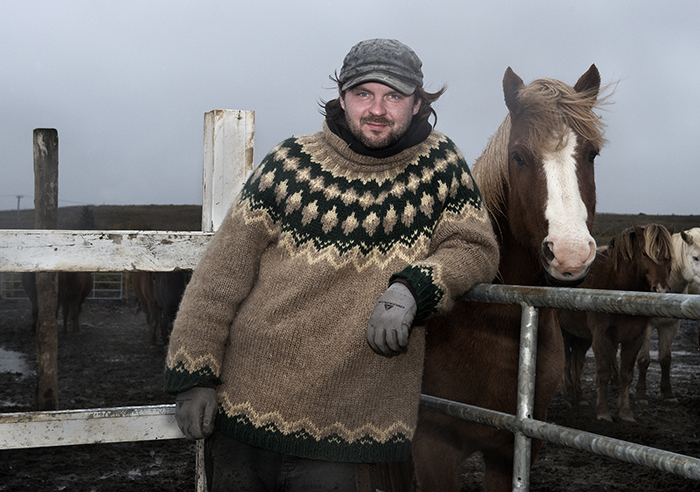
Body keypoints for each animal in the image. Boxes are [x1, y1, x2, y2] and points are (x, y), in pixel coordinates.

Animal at [382, 65, 608, 492]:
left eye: (592, 154)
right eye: (518, 156)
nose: (570, 254)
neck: (493, 323)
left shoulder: (513, 450)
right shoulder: (433, 448)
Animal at [556, 225, 672, 420]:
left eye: (669, 256)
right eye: (645, 254)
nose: (661, 289)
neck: (618, 288)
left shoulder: (635, 338)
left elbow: (627, 374)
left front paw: (625, 412)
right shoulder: (602, 336)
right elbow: (603, 373)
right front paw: (603, 412)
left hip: (582, 337)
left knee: (577, 362)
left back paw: (579, 397)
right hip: (564, 333)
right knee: (565, 363)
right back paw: (568, 399)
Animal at [636, 227, 700, 404]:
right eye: (695, 257)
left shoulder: (670, 327)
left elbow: (666, 359)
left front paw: (668, 394)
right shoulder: (645, 328)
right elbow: (644, 359)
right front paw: (641, 396)